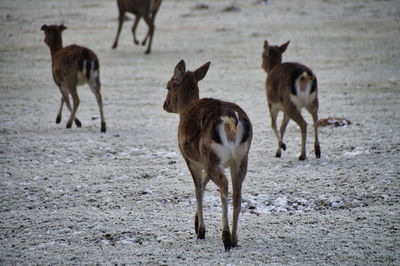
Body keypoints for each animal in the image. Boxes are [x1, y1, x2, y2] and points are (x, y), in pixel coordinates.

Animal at [163, 59, 253, 250]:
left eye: (168, 86)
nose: (165, 105)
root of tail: (231, 119)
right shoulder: (205, 162)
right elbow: (204, 183)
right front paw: (196, 221)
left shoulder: (191, 159)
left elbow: (197, 189)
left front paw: (200, 231)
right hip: (241, 158)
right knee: (237, 193)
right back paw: (234, 239)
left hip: (212, 156)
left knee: (224, 185)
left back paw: (225, 237)